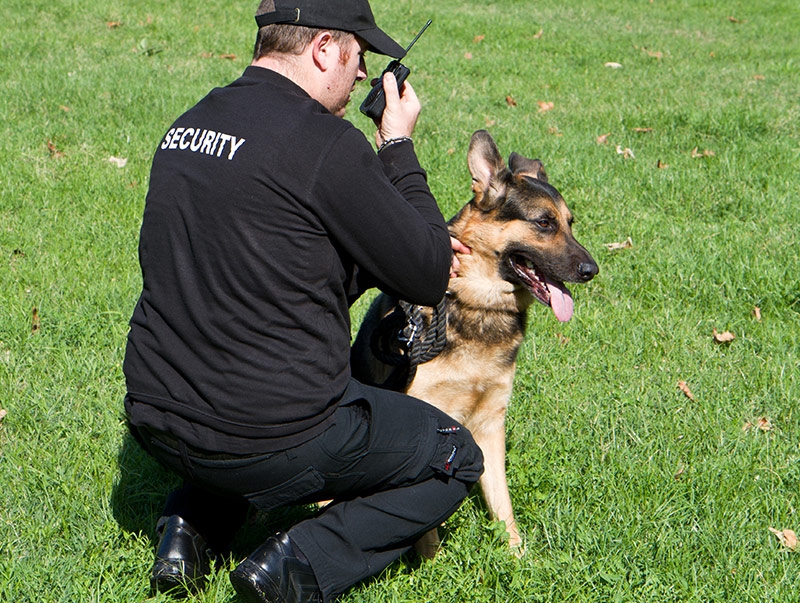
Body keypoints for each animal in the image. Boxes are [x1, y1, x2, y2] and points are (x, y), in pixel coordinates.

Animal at [354, 130, 596, 556]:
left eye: (570, 224)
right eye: (544, 222)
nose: (592, 270)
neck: (478, 302)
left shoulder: (490, 423)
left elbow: (503, 503)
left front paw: (518, 556)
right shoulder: (436, 425)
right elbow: (426, 523)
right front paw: (432, 563)